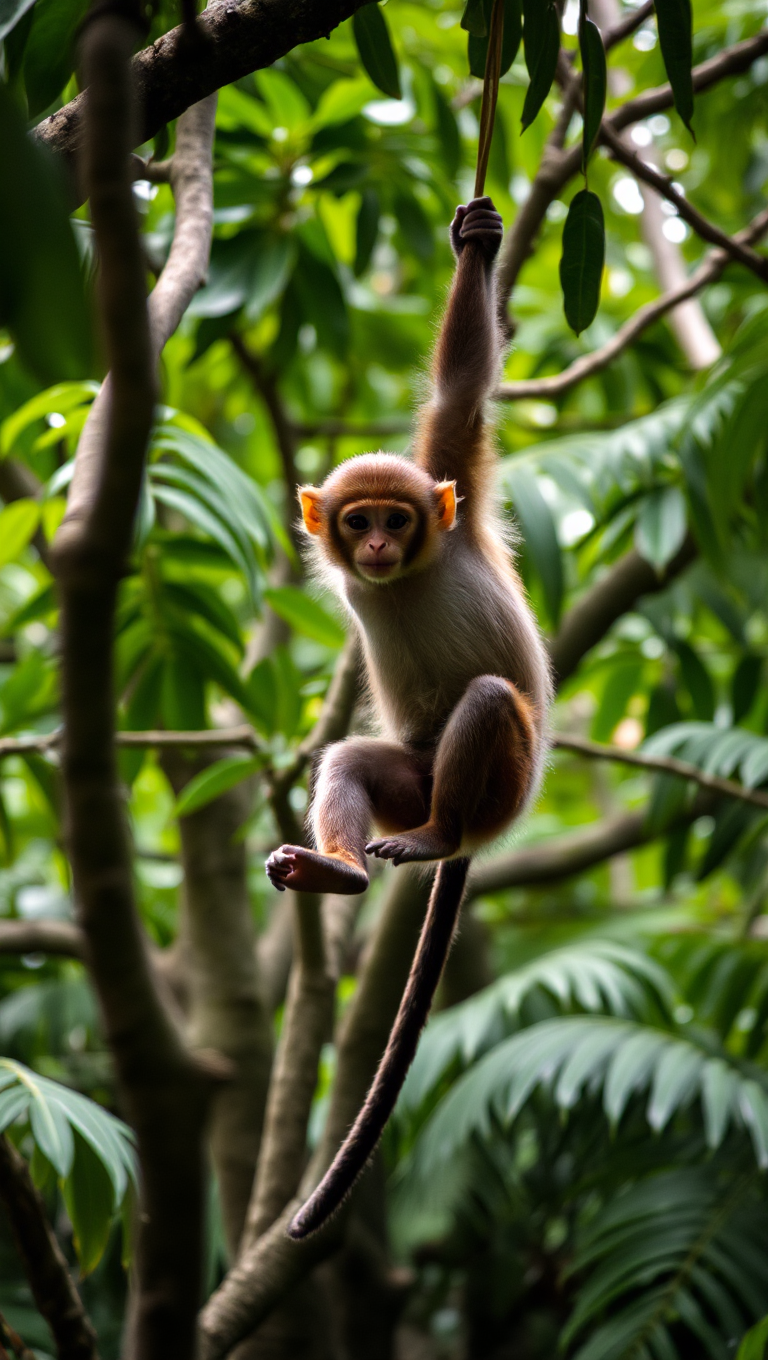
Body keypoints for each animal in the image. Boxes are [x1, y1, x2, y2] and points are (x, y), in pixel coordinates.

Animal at [265, 194, 551, 1245]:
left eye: (396, 516)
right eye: (358, 524)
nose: (382, 546)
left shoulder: (449, 487)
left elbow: (461, 393)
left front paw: (479, 242)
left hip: (503, 786)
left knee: (487, 702)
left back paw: (431, 843)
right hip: (406, 774)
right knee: (354, 762)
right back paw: (339, 870)